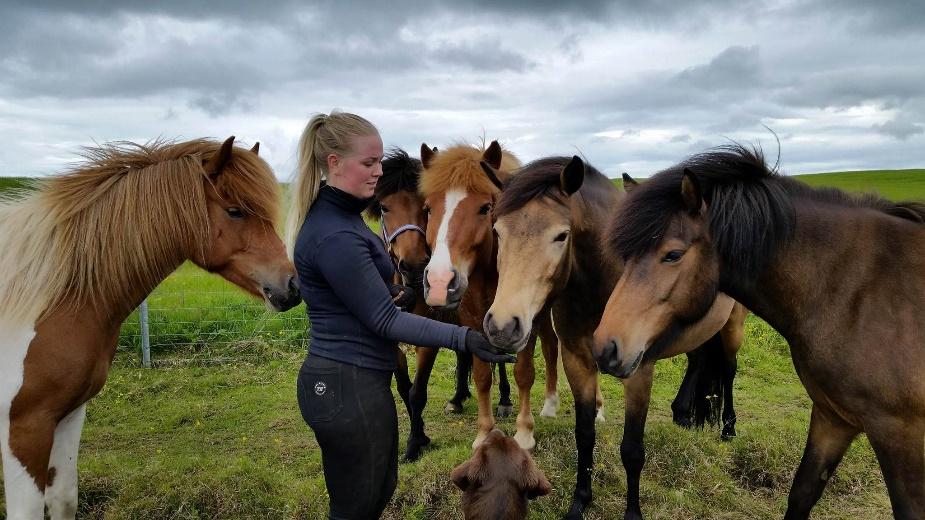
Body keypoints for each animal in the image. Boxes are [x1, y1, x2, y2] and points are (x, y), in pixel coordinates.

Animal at [488, 156, 748, 516]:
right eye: (497, 231)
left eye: (561, 235)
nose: (502, 325)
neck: (603, 285)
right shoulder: (577, 360)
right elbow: (584, 435)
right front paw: (580, 501)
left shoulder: (637, 371)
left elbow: (632, 450)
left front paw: (632, 512)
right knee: (698, 360)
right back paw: (684, 414)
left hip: (734, 325)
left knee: (729, 369)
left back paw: (728, 427)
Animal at [592, 143, 924, 520]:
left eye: (672, 255)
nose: (605, 348)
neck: (854, 288)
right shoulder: (833, 417)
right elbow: (801, 494)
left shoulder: (899, 432)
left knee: (728, 369)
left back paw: (727, 426)